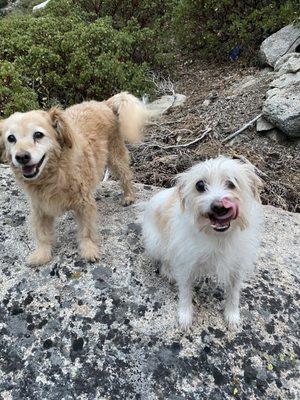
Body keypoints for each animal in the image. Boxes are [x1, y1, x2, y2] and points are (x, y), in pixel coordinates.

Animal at [0, 91, 150, 266]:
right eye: (11, 138)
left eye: (38, 134)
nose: (22, 157)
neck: (53, 176)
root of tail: (103, 103)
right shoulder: (40, 208)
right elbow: (42, 234)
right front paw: (42, 254)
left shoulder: (84, 204)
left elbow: (86, 231)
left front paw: (88, 249)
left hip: (115, 157)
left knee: (125, 175)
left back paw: (128, 196)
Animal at [143, 156, 262, 328]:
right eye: (199, 185)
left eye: (232, 183)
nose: (219, 206)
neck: (218, 237)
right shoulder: (185, 263)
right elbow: (185, 291)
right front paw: (185, 315)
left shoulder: (237, 264)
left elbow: (234, 293)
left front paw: (232, 315)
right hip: (156, 243)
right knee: (164, 259)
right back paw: (169, 271)